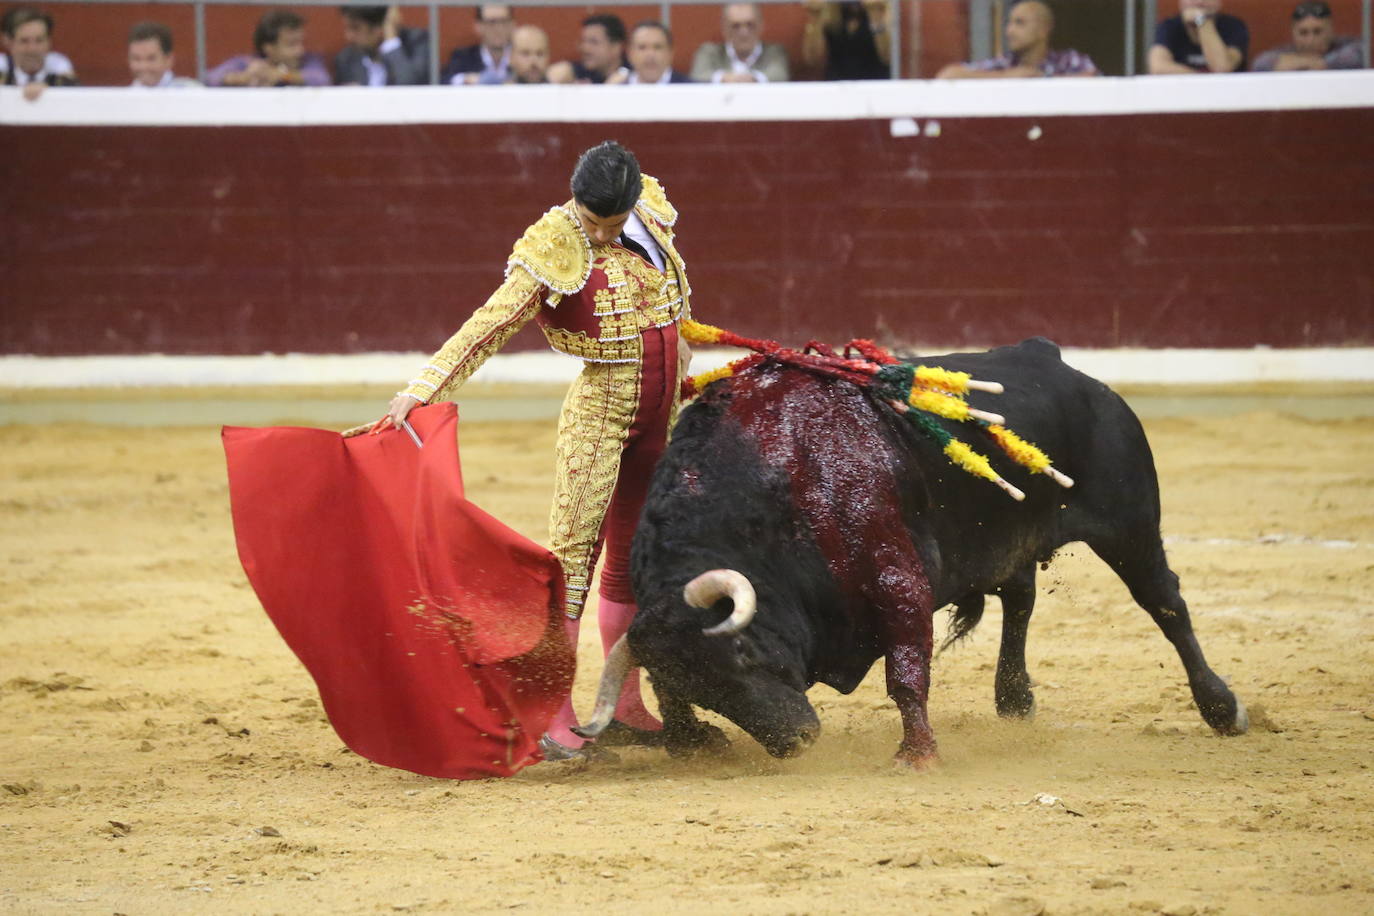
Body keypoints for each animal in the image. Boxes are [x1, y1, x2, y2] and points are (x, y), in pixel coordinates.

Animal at [577, 336, 1247, 769]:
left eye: (740, 652)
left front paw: (917, 755)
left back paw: (1222, 709)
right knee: (1020, 601)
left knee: (1165, 605)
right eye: (700, 687)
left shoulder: (898, 579)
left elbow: (906, 673)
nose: (795, 741)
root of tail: (1050, 358)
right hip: (1009, 543)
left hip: (1130, 525)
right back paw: (1015, 700)